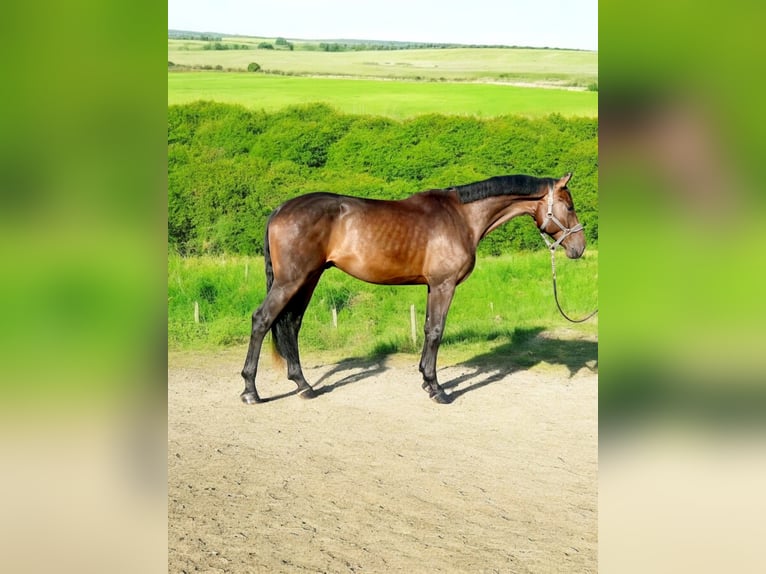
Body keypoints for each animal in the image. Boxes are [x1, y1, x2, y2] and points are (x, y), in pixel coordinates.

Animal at [240, 173, 588, 408]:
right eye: (569, 206)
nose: (579, 247)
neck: (462, 217)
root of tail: (281, 209)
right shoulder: (444, 285)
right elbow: (435, 332)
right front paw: (437, 389)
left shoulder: (433, 286)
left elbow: (427, 329)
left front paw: (426, 380)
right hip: (291, 280)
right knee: (262, 320)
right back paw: (251, 391)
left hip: (308, 278)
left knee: (291, 324)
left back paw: (303, 385)